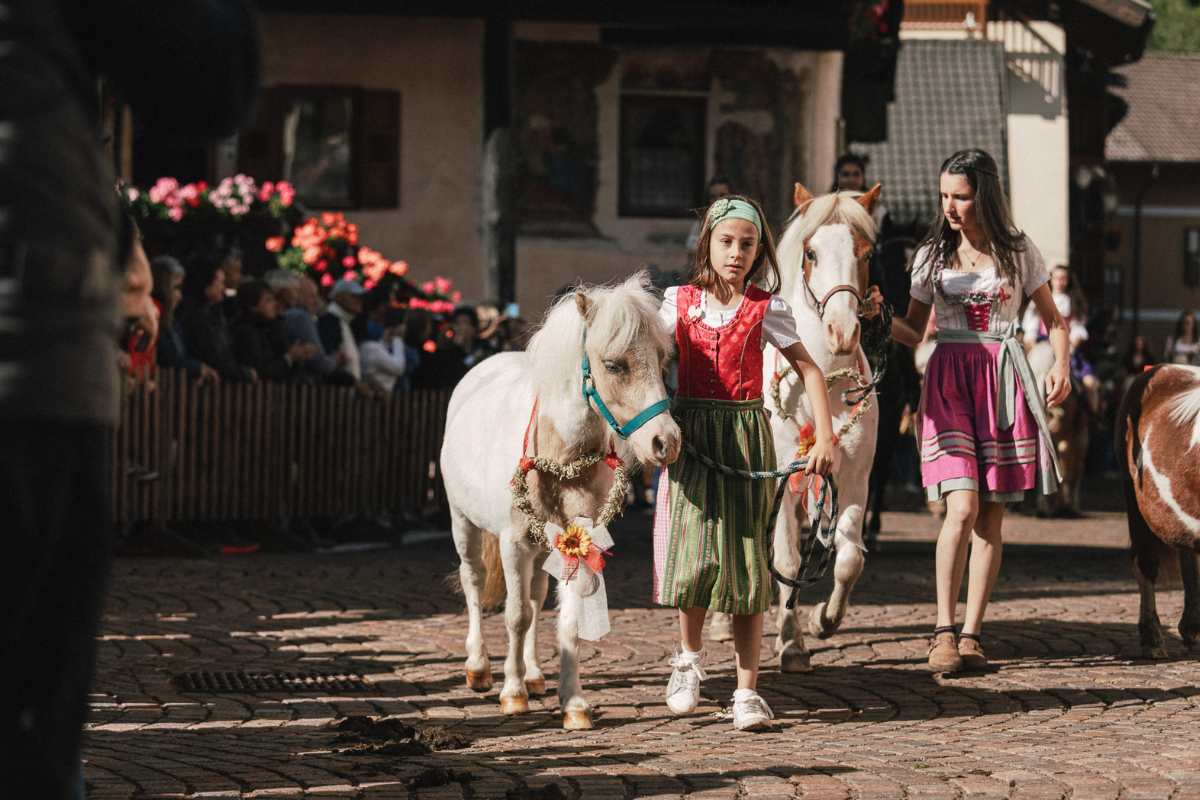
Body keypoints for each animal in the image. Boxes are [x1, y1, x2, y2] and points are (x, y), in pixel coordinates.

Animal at [444, 273, 686, 734]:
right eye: (614, 364)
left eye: (664, 358)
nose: (666, 442)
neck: (559, 458)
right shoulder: (513, 544)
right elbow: (515, 615)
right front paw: (512, 694)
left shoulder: (580, 541)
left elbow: (565, 622)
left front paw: (571, 702)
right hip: (463, 523)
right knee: (473, 581)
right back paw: (479, 667)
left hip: (545, 547)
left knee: (537, 596)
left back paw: (535, 675)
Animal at [710, 183, 883, 671]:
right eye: (811, 252)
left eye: (867, 252)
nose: (842, 331)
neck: (822, 388)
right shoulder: (780, 482)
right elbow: (786, 563)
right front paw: (790, 643)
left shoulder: (855, 478)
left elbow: (848, 558)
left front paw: (824, 620)